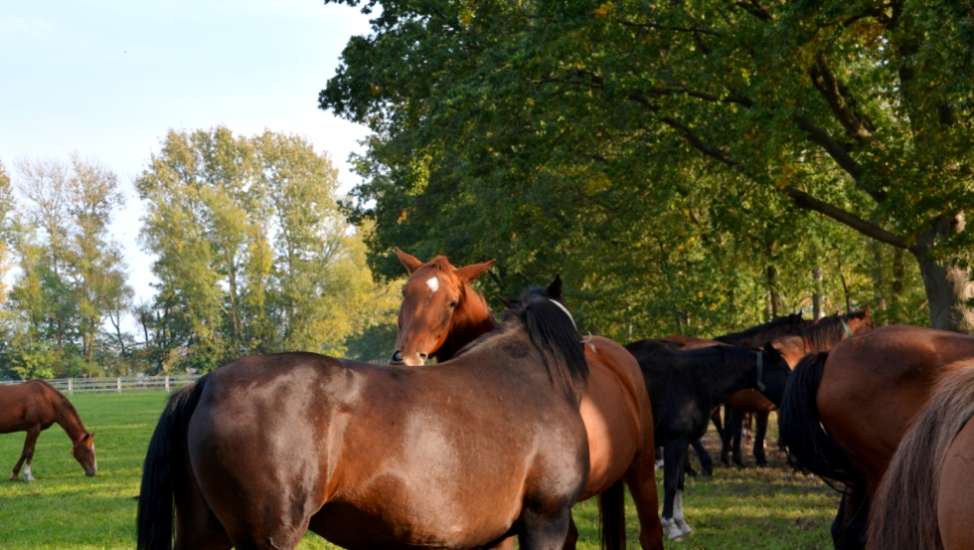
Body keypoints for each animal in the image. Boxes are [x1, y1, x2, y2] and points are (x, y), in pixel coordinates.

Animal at [624, 338, 792, 540]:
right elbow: (670, 483)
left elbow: (679, 482)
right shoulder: (674, 440)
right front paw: (670, 527)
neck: (691, 380)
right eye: (785, 370)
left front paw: (682, 524)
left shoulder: (683, 441)